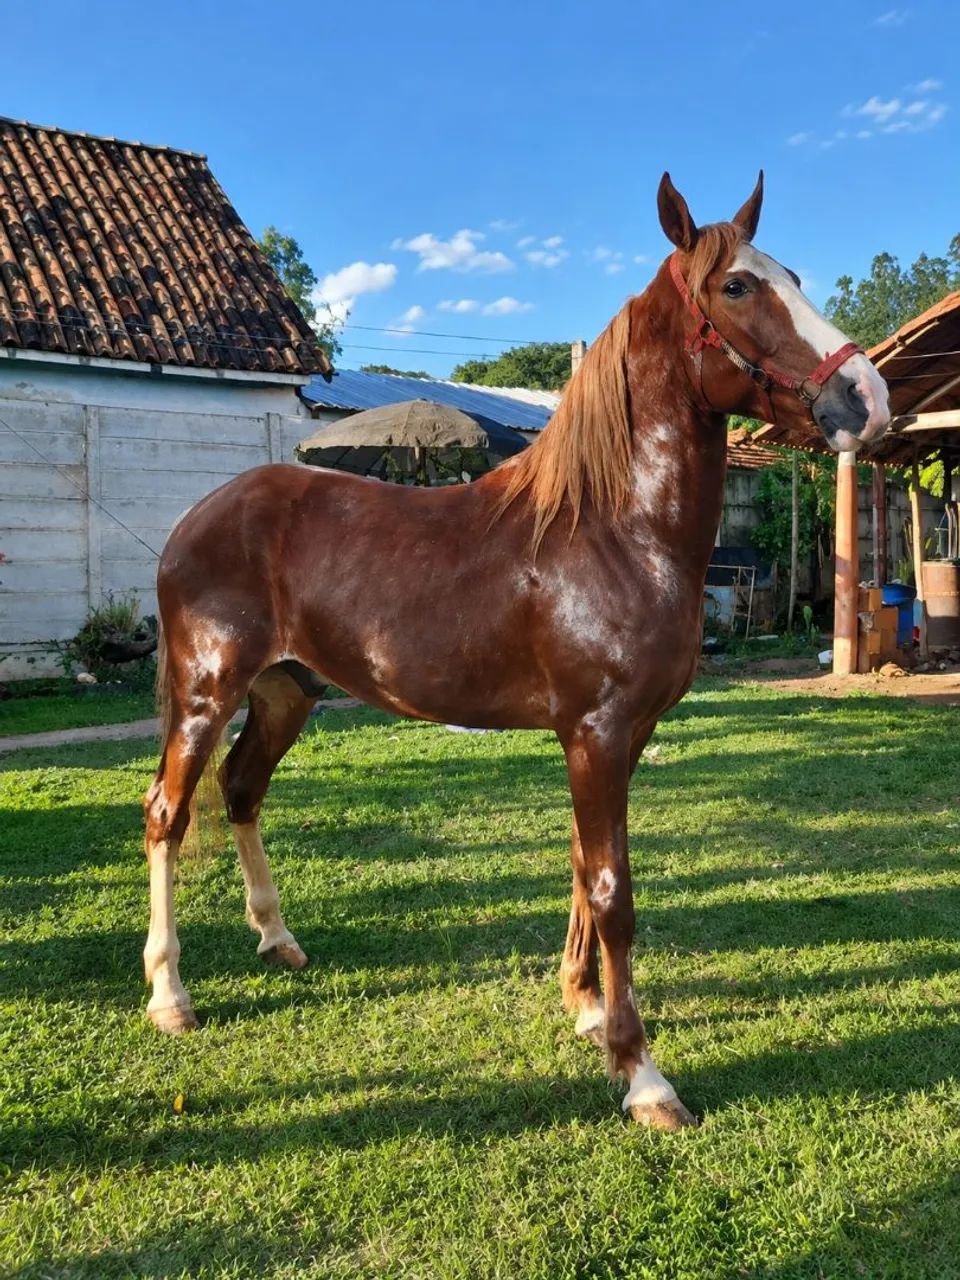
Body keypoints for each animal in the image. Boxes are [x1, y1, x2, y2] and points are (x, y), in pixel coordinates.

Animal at [143, 172, 890, 1130]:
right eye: (737, 286)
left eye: (791, 275)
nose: (867, 398)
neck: (610, 528)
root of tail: (198, 517)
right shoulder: (596, 733)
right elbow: (613, 892)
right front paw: (642, 1074)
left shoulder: (620, 736)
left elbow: (581, 866)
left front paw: (584, 1008)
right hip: (208, 692)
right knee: (167, 814)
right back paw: (170, 997)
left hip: (285, 693)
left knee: (241, 791)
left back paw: (278, 939)